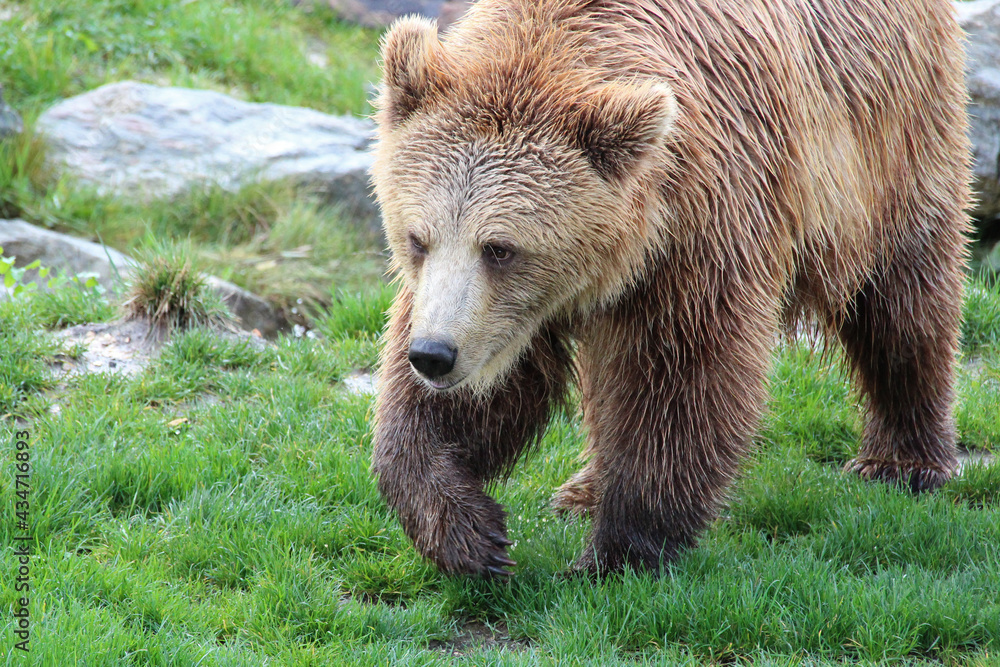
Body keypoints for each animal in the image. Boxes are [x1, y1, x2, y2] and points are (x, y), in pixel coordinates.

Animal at [369, 0, 972, 576]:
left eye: (500, 247)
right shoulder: (505, 310)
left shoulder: (702, 225)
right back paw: (583, 489)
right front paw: (469, 532)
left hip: (890, 131)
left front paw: (616, 554)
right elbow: (469, 396)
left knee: (903, 296)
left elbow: (681, 381)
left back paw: (902, 460)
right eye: (417, 238)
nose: (435, 355)